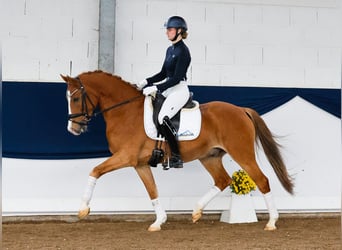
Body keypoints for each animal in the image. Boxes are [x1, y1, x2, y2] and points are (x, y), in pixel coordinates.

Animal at [60, 70, 292, 230]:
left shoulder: (125, 157)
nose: (72, 129)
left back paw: (271, 223)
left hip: (242, 154)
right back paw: (196, 211)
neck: (125, 111)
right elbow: (152, 190)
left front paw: (83, 209)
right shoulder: (139, 164)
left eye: (76, 98)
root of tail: (241, 110)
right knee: (223, 180)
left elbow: (95, 171)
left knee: (262, 181)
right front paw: (158, 222)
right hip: (209, 157)